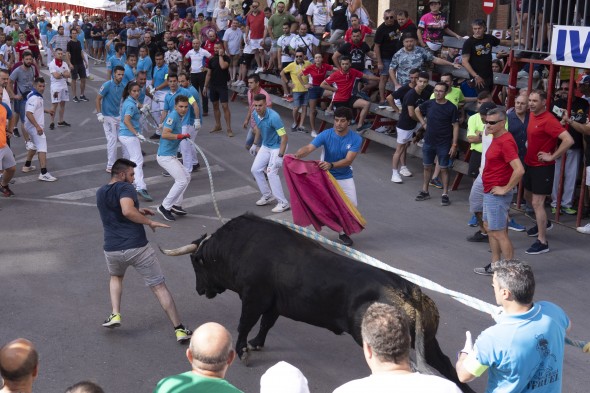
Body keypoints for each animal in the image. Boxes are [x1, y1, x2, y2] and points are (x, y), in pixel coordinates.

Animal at [162, 214, 476, 392]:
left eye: (196, 263)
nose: (199, 290)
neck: (237, 246)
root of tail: (408, 290)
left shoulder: (253, 297)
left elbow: (244, 324)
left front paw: (243, 351)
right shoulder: (274, 304)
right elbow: (265, 325)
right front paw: (257, 344)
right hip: (429, 341)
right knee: (447, 366)